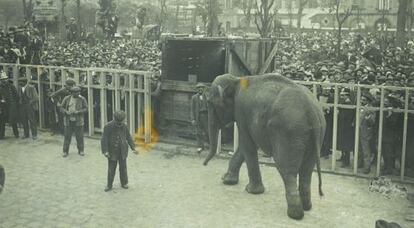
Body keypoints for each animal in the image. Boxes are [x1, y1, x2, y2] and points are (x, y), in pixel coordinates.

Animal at [204, 73, 326, 219]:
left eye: (211, 104)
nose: (204, 165)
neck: (236, 80)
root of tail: (311, 110)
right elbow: (248, 144)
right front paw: (227, 180)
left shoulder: (241, 111)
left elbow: (247, 143)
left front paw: (250, 190)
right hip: (315, 134)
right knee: (306, 170)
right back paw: (307, 207)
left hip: (288, 132)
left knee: (287, 169)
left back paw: (295, 215)